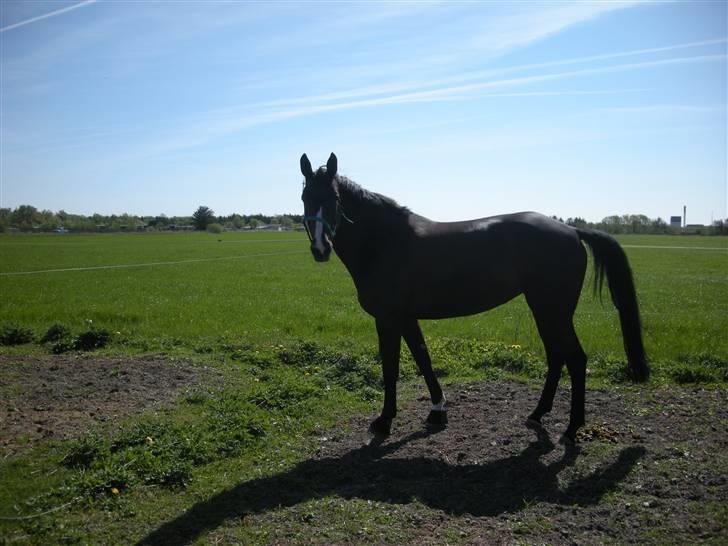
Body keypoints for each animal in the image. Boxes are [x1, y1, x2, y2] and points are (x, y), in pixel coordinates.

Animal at [298, 151, 652, 440]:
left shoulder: (388, 319)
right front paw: (437, 410)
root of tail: (571, 231)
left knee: (575, 359)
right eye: (304, 197)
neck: (385, 242)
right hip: (545, 309)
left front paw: (384, 420)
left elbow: (391, 368)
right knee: (557, 357)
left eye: (333, 197)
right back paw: (538, 414)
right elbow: (423, 359)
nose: (320, 249)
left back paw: (572, 426)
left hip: (553, 310)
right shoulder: (407, 318)